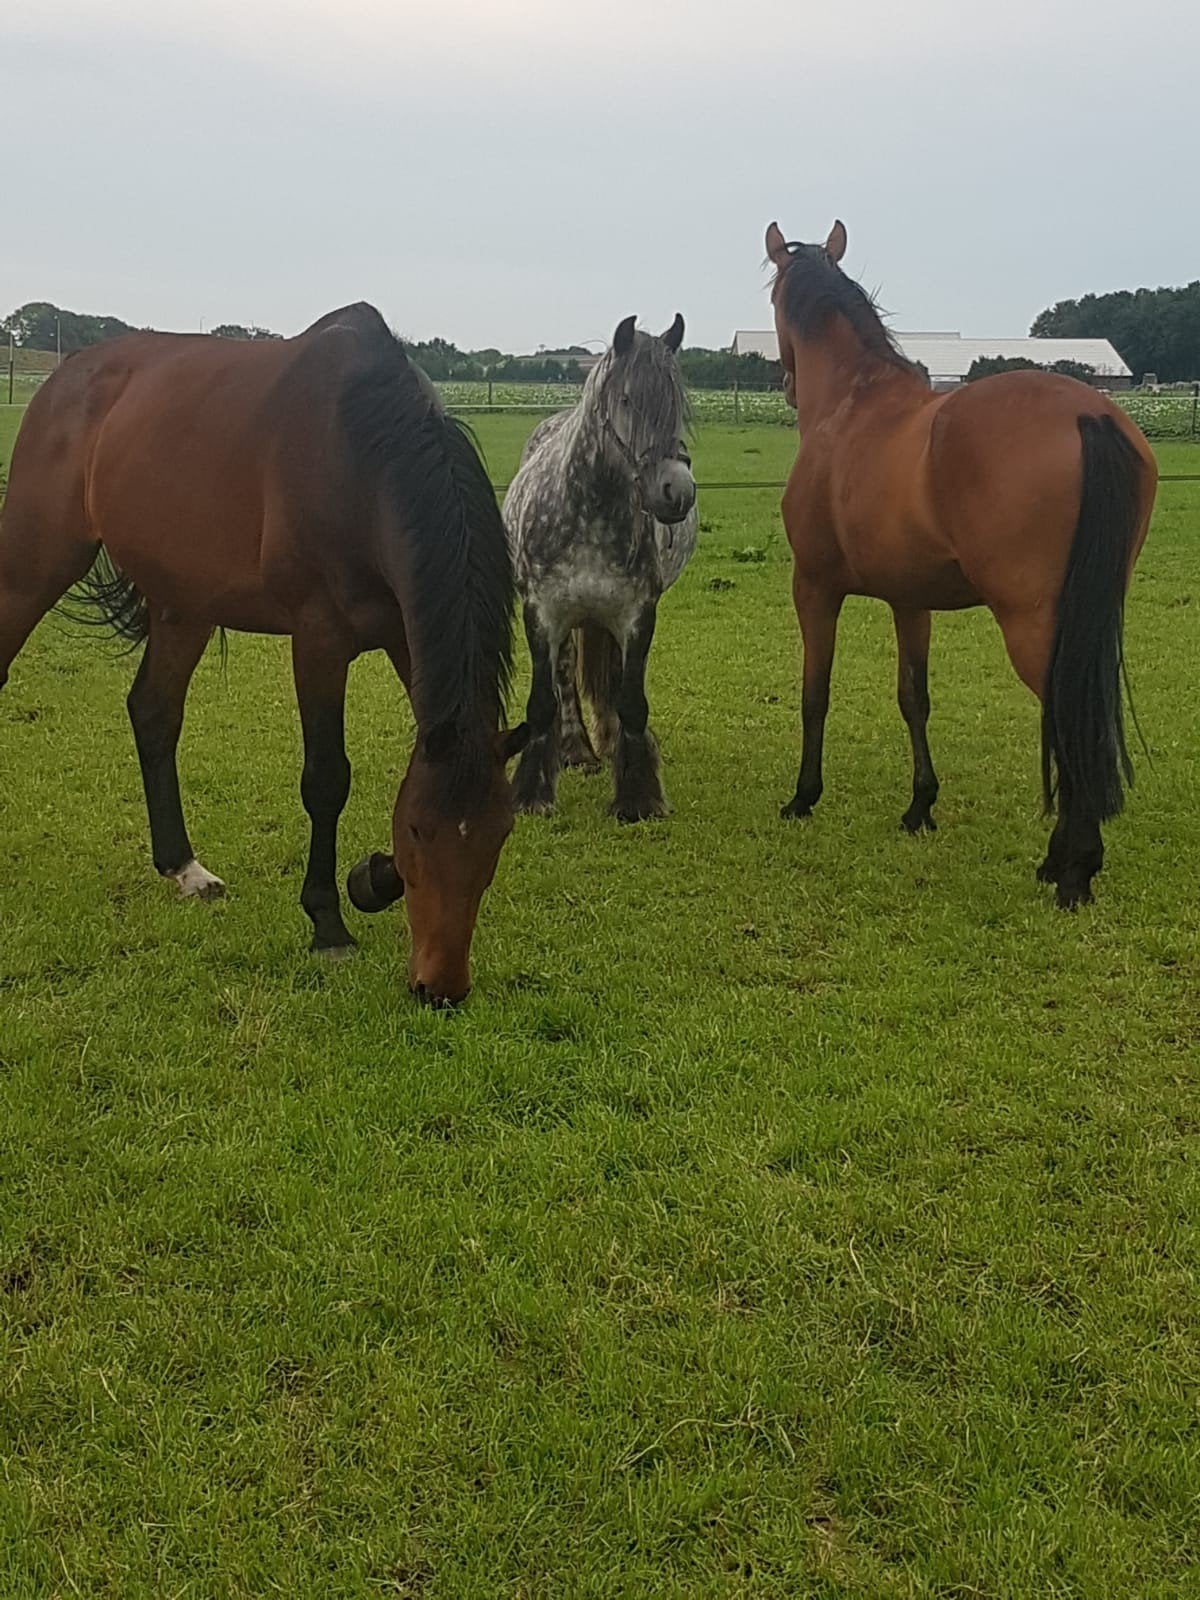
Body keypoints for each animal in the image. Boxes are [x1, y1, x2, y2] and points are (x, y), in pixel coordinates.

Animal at [0, 303, 528, 1004]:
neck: (360, 455)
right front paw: (328, 922)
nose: (439, 988)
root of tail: (64, 380)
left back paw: (184, 869)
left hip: (185, 603)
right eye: (419, 829)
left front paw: (371, 878)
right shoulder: (319, 639)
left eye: (500, 833)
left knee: (154, 713)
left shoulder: (401, 632)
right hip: (34, 566)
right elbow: (327, 779)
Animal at [504, 314, 697, 821]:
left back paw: (608, 745)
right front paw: (531, 792)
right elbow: (543, 702)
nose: (678, 492)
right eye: (627, 399)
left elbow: (631, 702)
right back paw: (576, 749)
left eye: (678, 405)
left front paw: (637, 795)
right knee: (566, 678)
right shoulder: (541, 613)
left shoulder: (636, 615)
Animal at [765, 218, 1158, 908]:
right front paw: (920, 807)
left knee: (1067, 714)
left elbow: (816, 693)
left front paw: (803, 797)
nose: (784, 381)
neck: (850, 405)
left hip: (1033, 624)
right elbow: (913, 697)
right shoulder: (909, 600)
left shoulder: (812, 588)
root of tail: (1090, 412)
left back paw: (1071, 869)